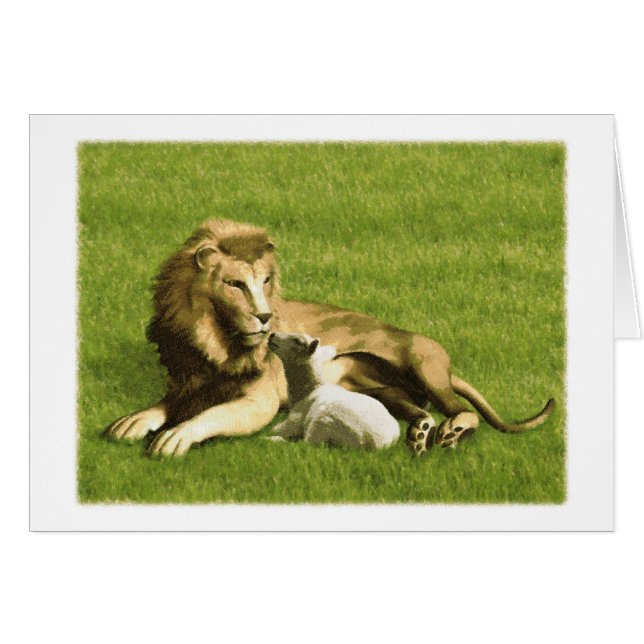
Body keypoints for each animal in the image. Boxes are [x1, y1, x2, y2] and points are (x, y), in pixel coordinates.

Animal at [266, 332, 400, 449]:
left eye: (297, 341)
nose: (272, 334)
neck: (309, 390)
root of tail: (378, 444)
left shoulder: (294, 420)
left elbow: (275, 429)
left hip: (322, 423)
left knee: (306, 444)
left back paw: (272, 440)